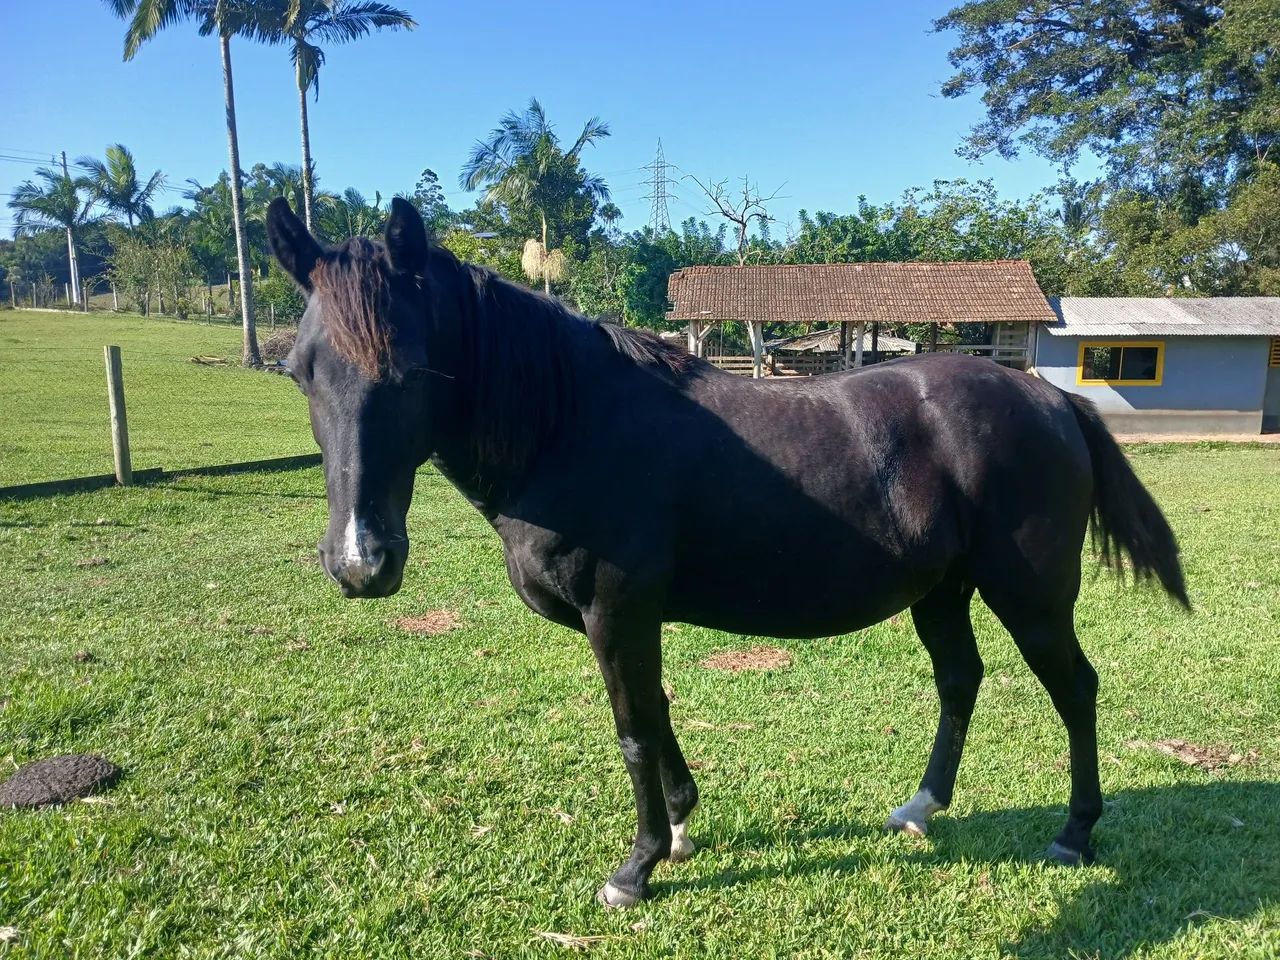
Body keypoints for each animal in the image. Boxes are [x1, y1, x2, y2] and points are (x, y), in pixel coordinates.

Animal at [265, 197, 1188, 908]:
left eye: (414, 370)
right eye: (301, 371)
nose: (360, 561)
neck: (570, 424)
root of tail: (1049, 398)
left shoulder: (617, 611)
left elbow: (634, 729)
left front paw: (635, 869)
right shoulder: (632, 619)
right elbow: (658, 711)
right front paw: (678, 826)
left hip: (1030, 596)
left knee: (1074, 689)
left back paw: (1074, 833)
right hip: (941, 591)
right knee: (961, 681)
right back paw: (920, 808)